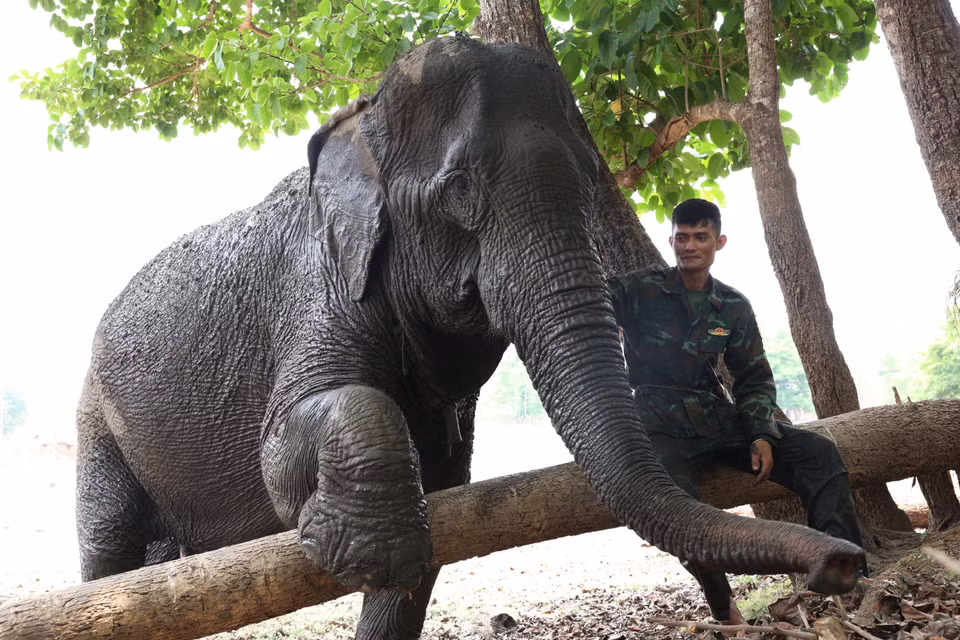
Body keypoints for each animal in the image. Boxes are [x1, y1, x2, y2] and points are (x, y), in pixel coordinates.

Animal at [76, 35, 864, 639]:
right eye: (460, 191)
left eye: (591, 181)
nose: (842, 562)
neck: (364, 117)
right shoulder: (317, 287)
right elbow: (288, 445)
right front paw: (365, 552)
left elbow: (440, 509)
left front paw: (387, 562)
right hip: (95, 417)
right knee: (106, 552)